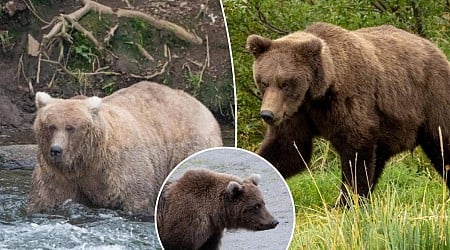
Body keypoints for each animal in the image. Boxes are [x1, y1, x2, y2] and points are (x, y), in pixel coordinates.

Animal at [27, 81, 222, 215]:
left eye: (71, 127)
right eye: (51, 126)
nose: (56, 150)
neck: (86, 160)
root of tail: (200, 104)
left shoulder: (118, 168)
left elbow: (135, 197)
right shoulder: (57, 174)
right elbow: (47, 197)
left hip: (190, 144)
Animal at [246, 22, 450, 205]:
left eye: (285, 84)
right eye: (264, 82)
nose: (267, 114)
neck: (318, 95)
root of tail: (435, 48)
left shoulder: (349, 102)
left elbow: (356, 154)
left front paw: (345, 203)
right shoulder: (296, 114)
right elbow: (288, 149)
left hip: (431, 98)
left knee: (442, 143)